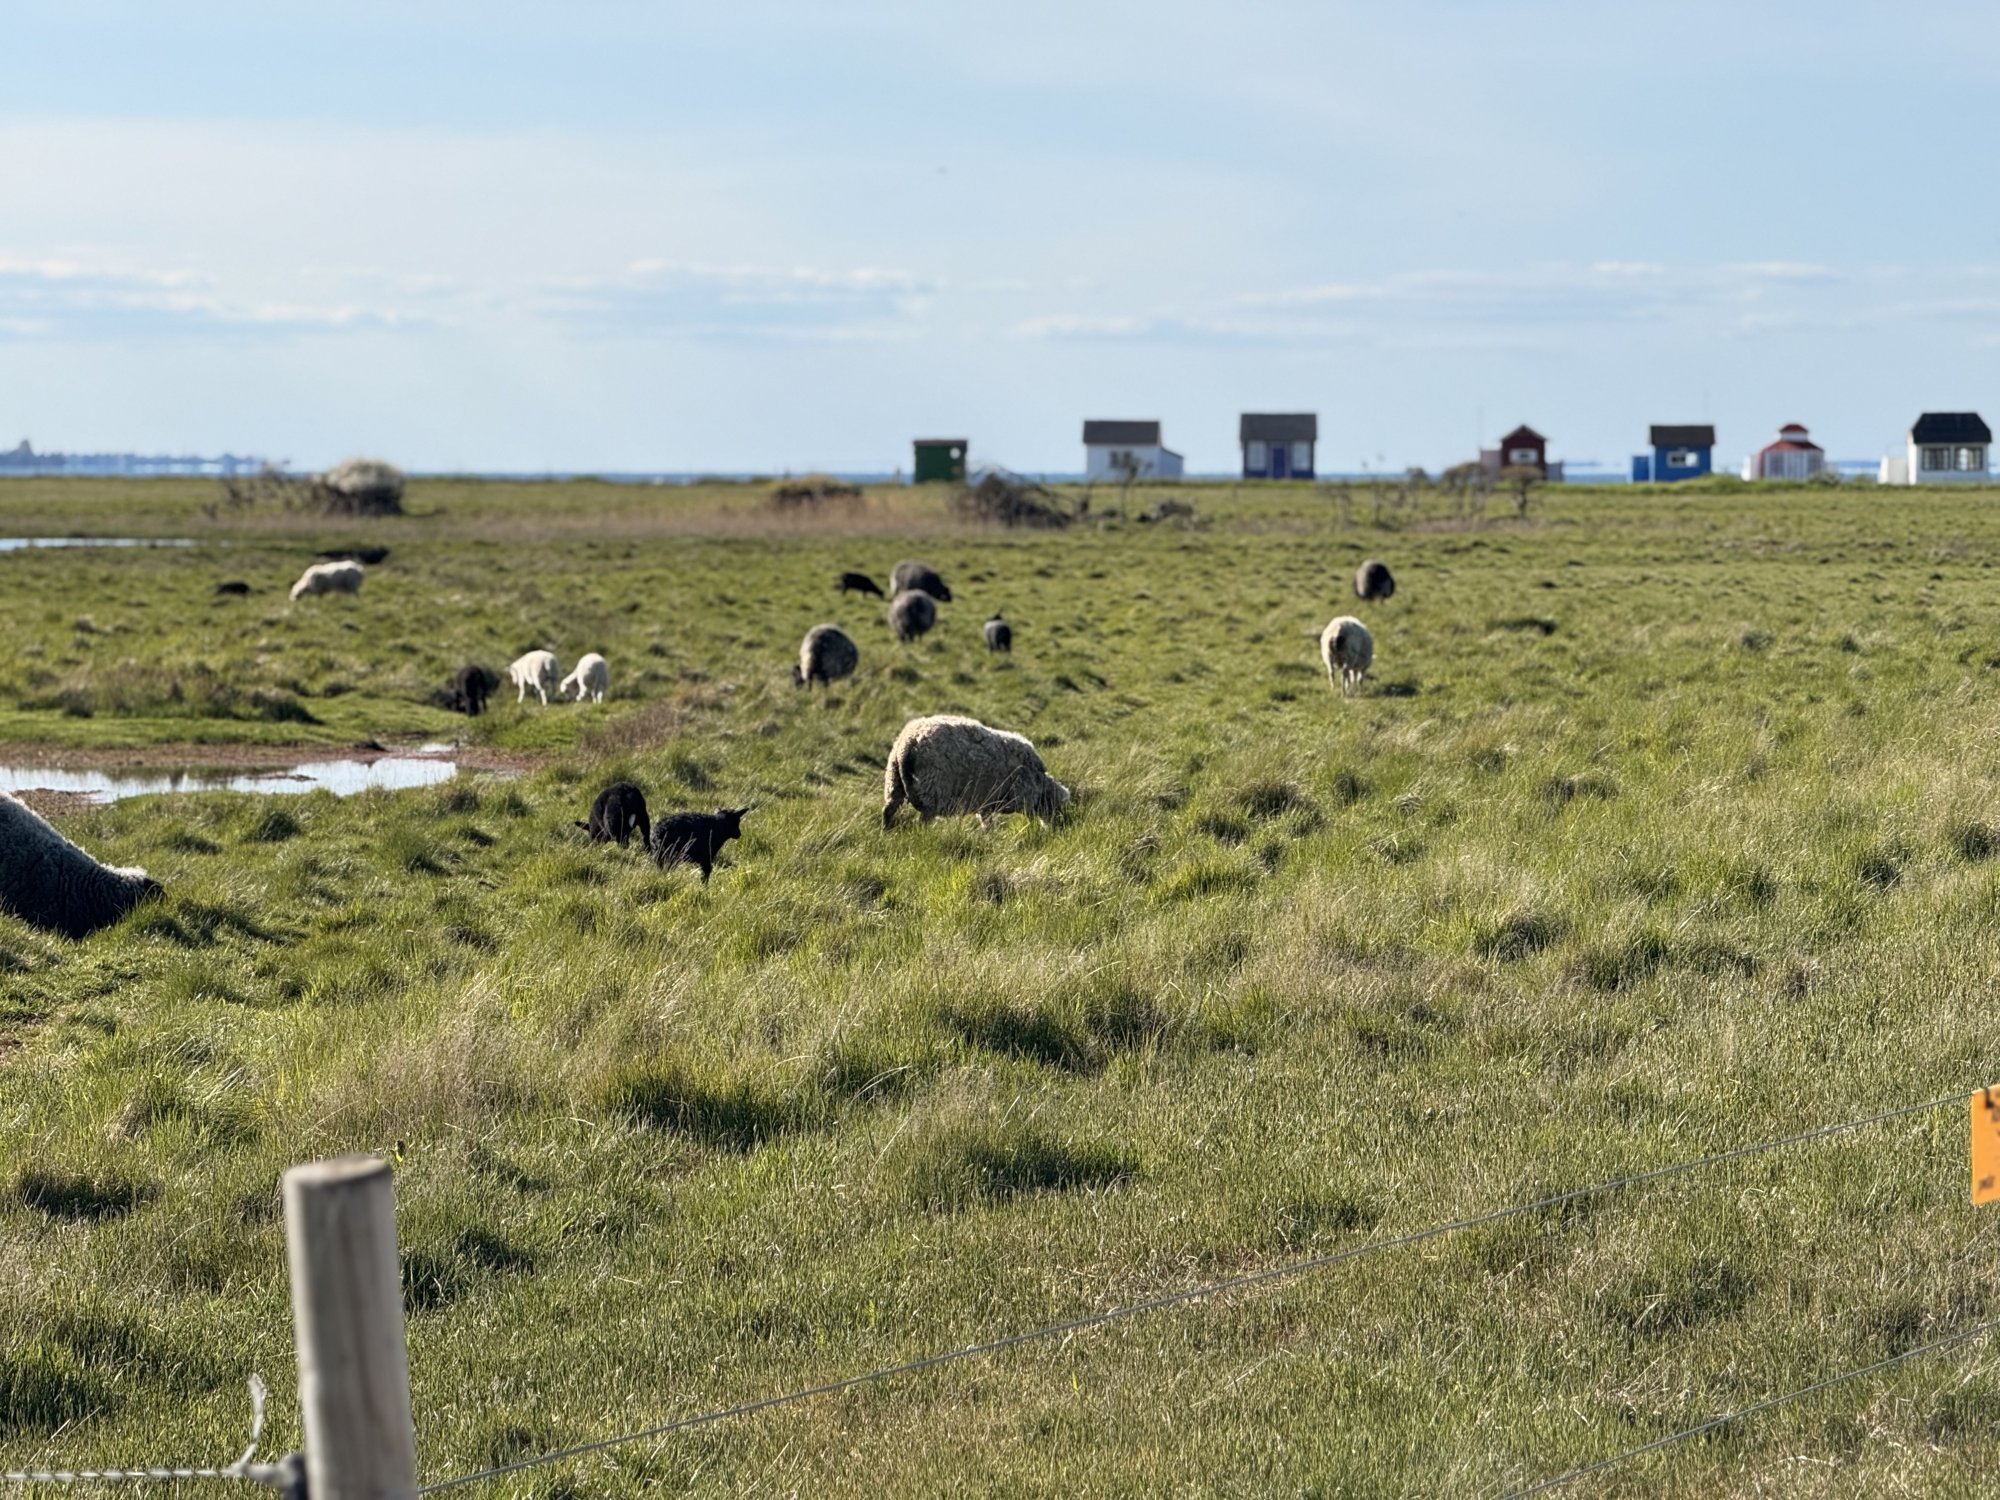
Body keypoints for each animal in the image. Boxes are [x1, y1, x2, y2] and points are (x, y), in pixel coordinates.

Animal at [882, 714, 1071, 831]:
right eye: (1059, 808)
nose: (1060, 829)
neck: (1040, 781)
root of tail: (908, 742)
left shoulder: (985, 802)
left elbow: (987, 824)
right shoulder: (1024, 797)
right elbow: (1030, 820)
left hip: (893, 782)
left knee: (888, 811)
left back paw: (886, 835)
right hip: (933, 789)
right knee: (922, 822)